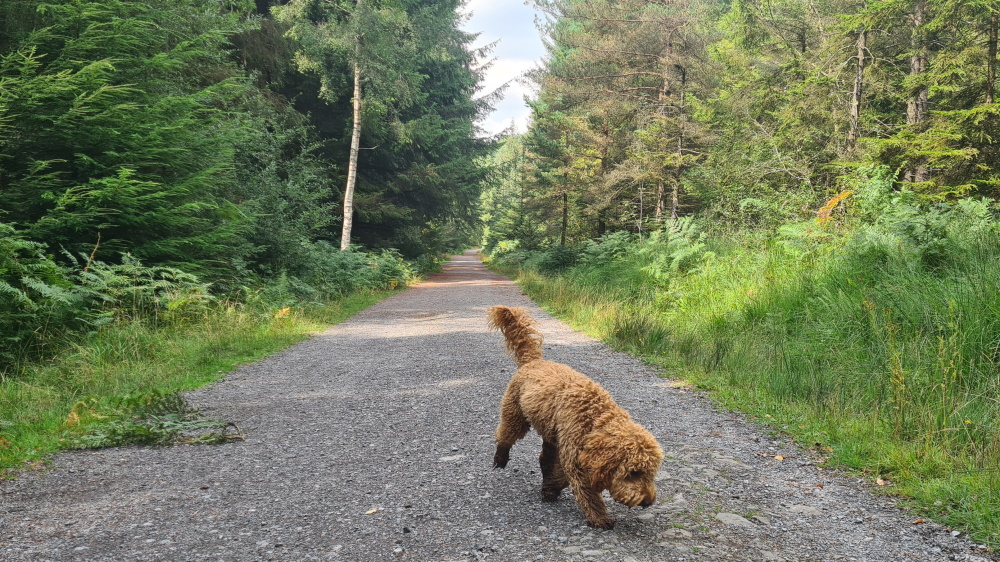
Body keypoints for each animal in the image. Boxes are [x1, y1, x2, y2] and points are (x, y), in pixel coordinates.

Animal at [490, 304, 664, 528]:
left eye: (651, 473)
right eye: (633, 473)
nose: (648, 502)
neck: (595, 417)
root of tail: (534, 361)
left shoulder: (575, 451)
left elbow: (562, 476)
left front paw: (550, 488)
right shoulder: (575, 456)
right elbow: (586, 491)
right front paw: (599, 518)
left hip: (551, 433)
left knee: (544, 458)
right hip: (515, 413)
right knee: (506, 435)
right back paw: (500, 457)